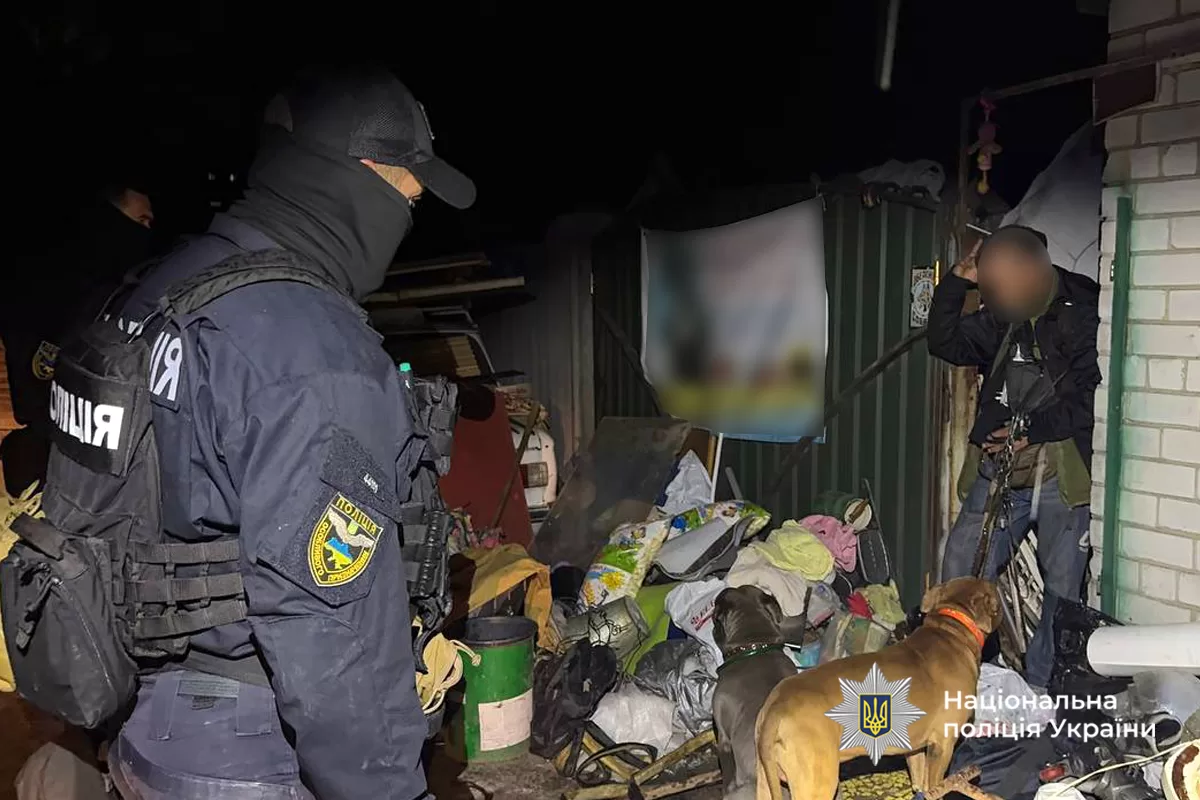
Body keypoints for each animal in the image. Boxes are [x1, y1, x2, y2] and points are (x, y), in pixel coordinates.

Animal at [754, 577, 1002, 800]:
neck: (952, 630)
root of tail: (776, 707)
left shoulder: (915, 748)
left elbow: (920, 783)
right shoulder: (942, 744)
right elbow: (936, 786)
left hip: (766, 779)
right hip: (817, 780)